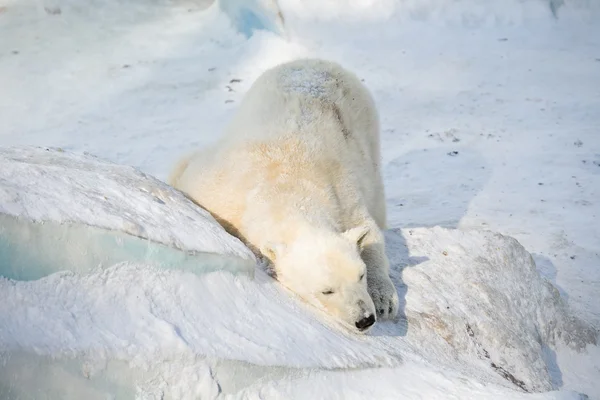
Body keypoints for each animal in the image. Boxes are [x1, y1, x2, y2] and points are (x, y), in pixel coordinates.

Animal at [169, 57, 398, 332]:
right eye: (326, 290)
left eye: (360, 275)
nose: (364, 319)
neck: (285, 183)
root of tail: (312, 61)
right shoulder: (217, 193)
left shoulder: (342, 189)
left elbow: (368, 231)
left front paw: (384, 299)